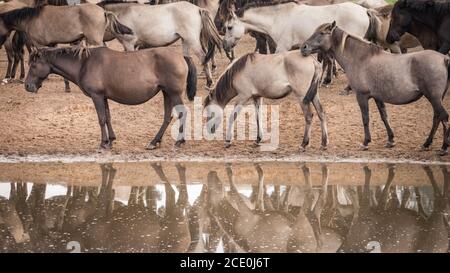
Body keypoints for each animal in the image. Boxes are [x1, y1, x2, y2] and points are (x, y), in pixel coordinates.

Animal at [24, 46, 197, 149]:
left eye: (33, 65)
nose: (27, 86)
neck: (84, 63)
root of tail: (182, 56)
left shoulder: (97, 96)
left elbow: (101, 119)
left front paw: (103, 143)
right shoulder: (104, 97)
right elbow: (107, 117)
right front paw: (111, 139)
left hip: (174, 93)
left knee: (182, 113)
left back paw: (179, 141)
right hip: (166, 93)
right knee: (167, 117)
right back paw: (154, 142)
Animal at [302, 22, 450, 155]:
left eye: (322, 33)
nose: (303, 47)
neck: (361, 58)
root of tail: (444, 59)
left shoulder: (362, 96)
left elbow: (365, 118)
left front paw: (366, 142)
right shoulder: (378, 97)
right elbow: (384, 116)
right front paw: (390, 140)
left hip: (434, 97)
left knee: (443, 116)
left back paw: (443, 148)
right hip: (435, 99)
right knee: (437, 118)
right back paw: (426, 144)